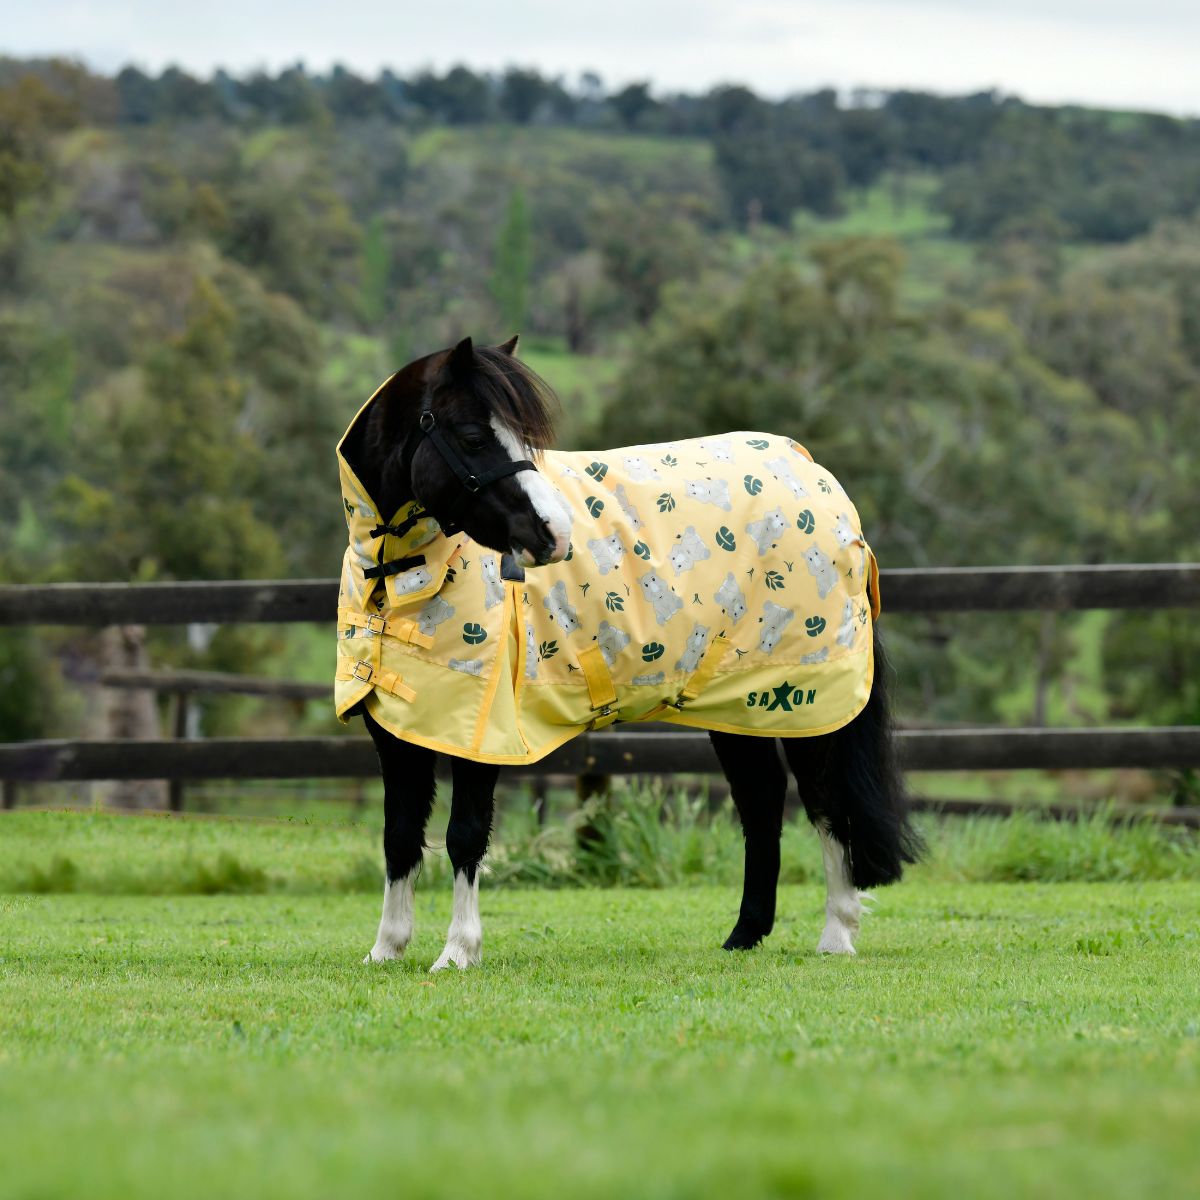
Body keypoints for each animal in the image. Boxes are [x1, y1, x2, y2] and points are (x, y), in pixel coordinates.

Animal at [335, 335, 922, 971]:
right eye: (472, 436)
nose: (554, 536)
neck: (401, 578)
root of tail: (815, 475)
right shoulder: (398, 731)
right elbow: (399, 834)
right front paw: (386, 948)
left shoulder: (481, 733)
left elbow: (463, 833)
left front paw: (458, 953)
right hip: (740, 705)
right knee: (762, 799)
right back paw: (745, 935)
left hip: (811, 705)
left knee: (825, 802)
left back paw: (837, 934)